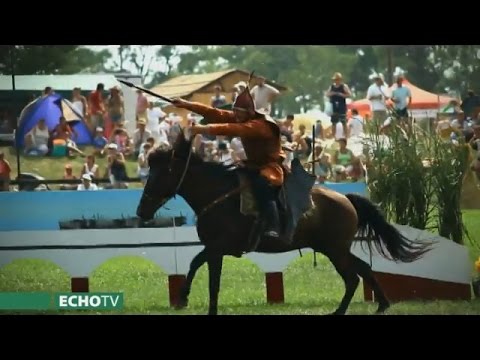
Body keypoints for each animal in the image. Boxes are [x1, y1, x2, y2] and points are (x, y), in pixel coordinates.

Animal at [136, 131, 432, 316]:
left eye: (161, 173)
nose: (142, 210)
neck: (218, 196)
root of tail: (345, 198)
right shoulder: (216, 250)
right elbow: (207, 277)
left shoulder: (218, 247)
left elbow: (198, 266)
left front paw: (182, 297)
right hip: (333, 249)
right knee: (363, 269)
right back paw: (381, 304)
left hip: (335, 250)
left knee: (352, 278)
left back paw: (340, 311)